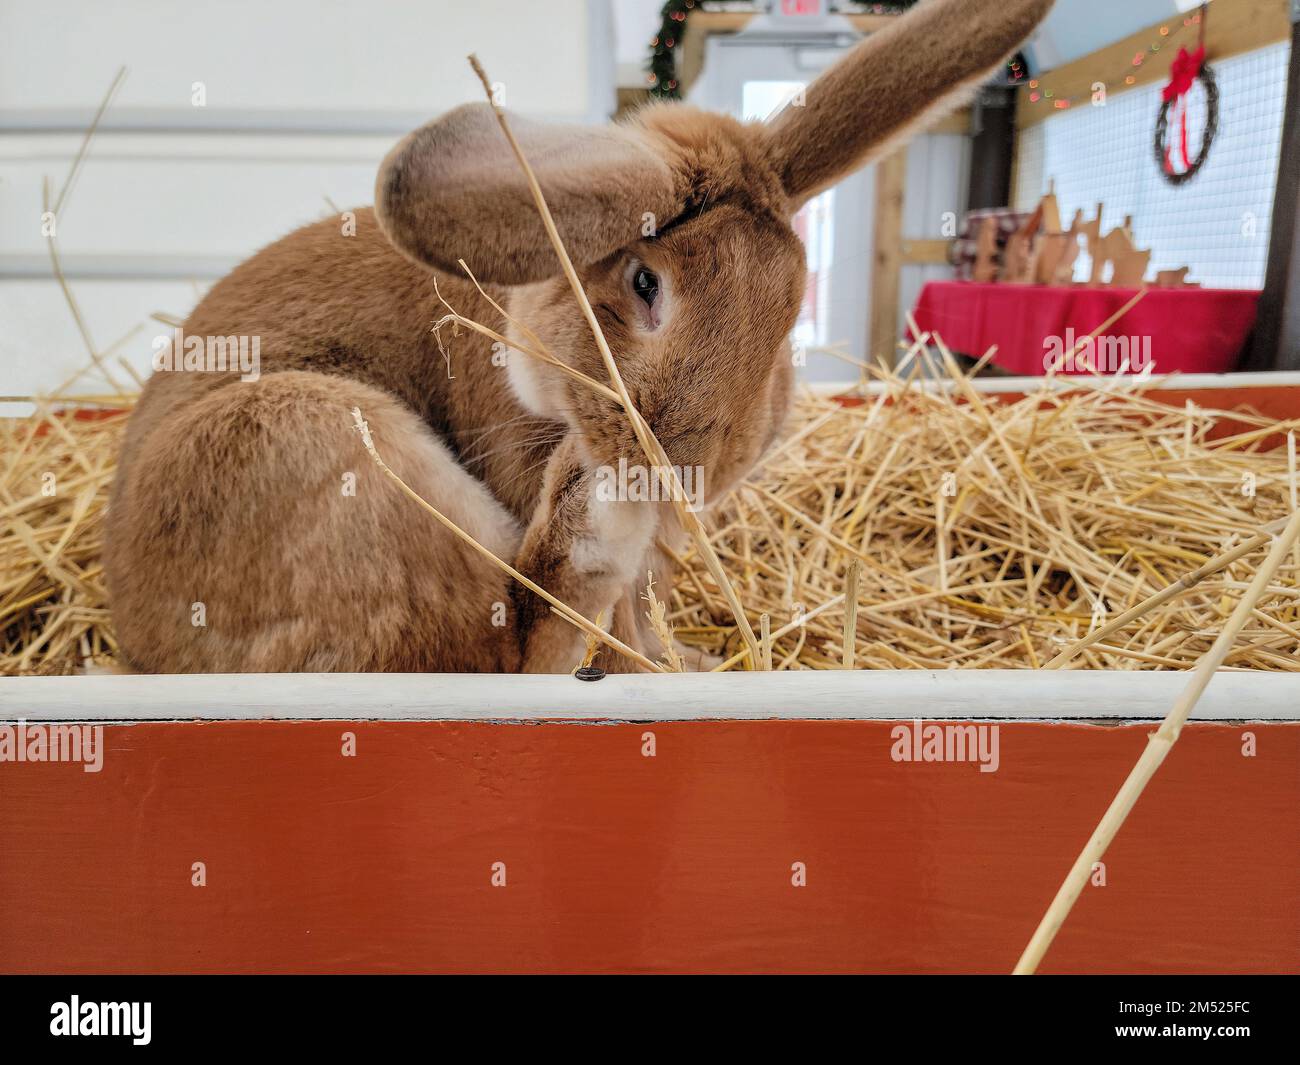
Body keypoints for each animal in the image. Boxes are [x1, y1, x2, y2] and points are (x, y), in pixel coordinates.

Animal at [106, 2, 1050, 676]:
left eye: (788, 314)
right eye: (644, 284)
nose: (686, 468)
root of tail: (135, 633)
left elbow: (646, 605)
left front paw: (681, 660)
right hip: (308, 438)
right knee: (507, 645)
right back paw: (591, 516)